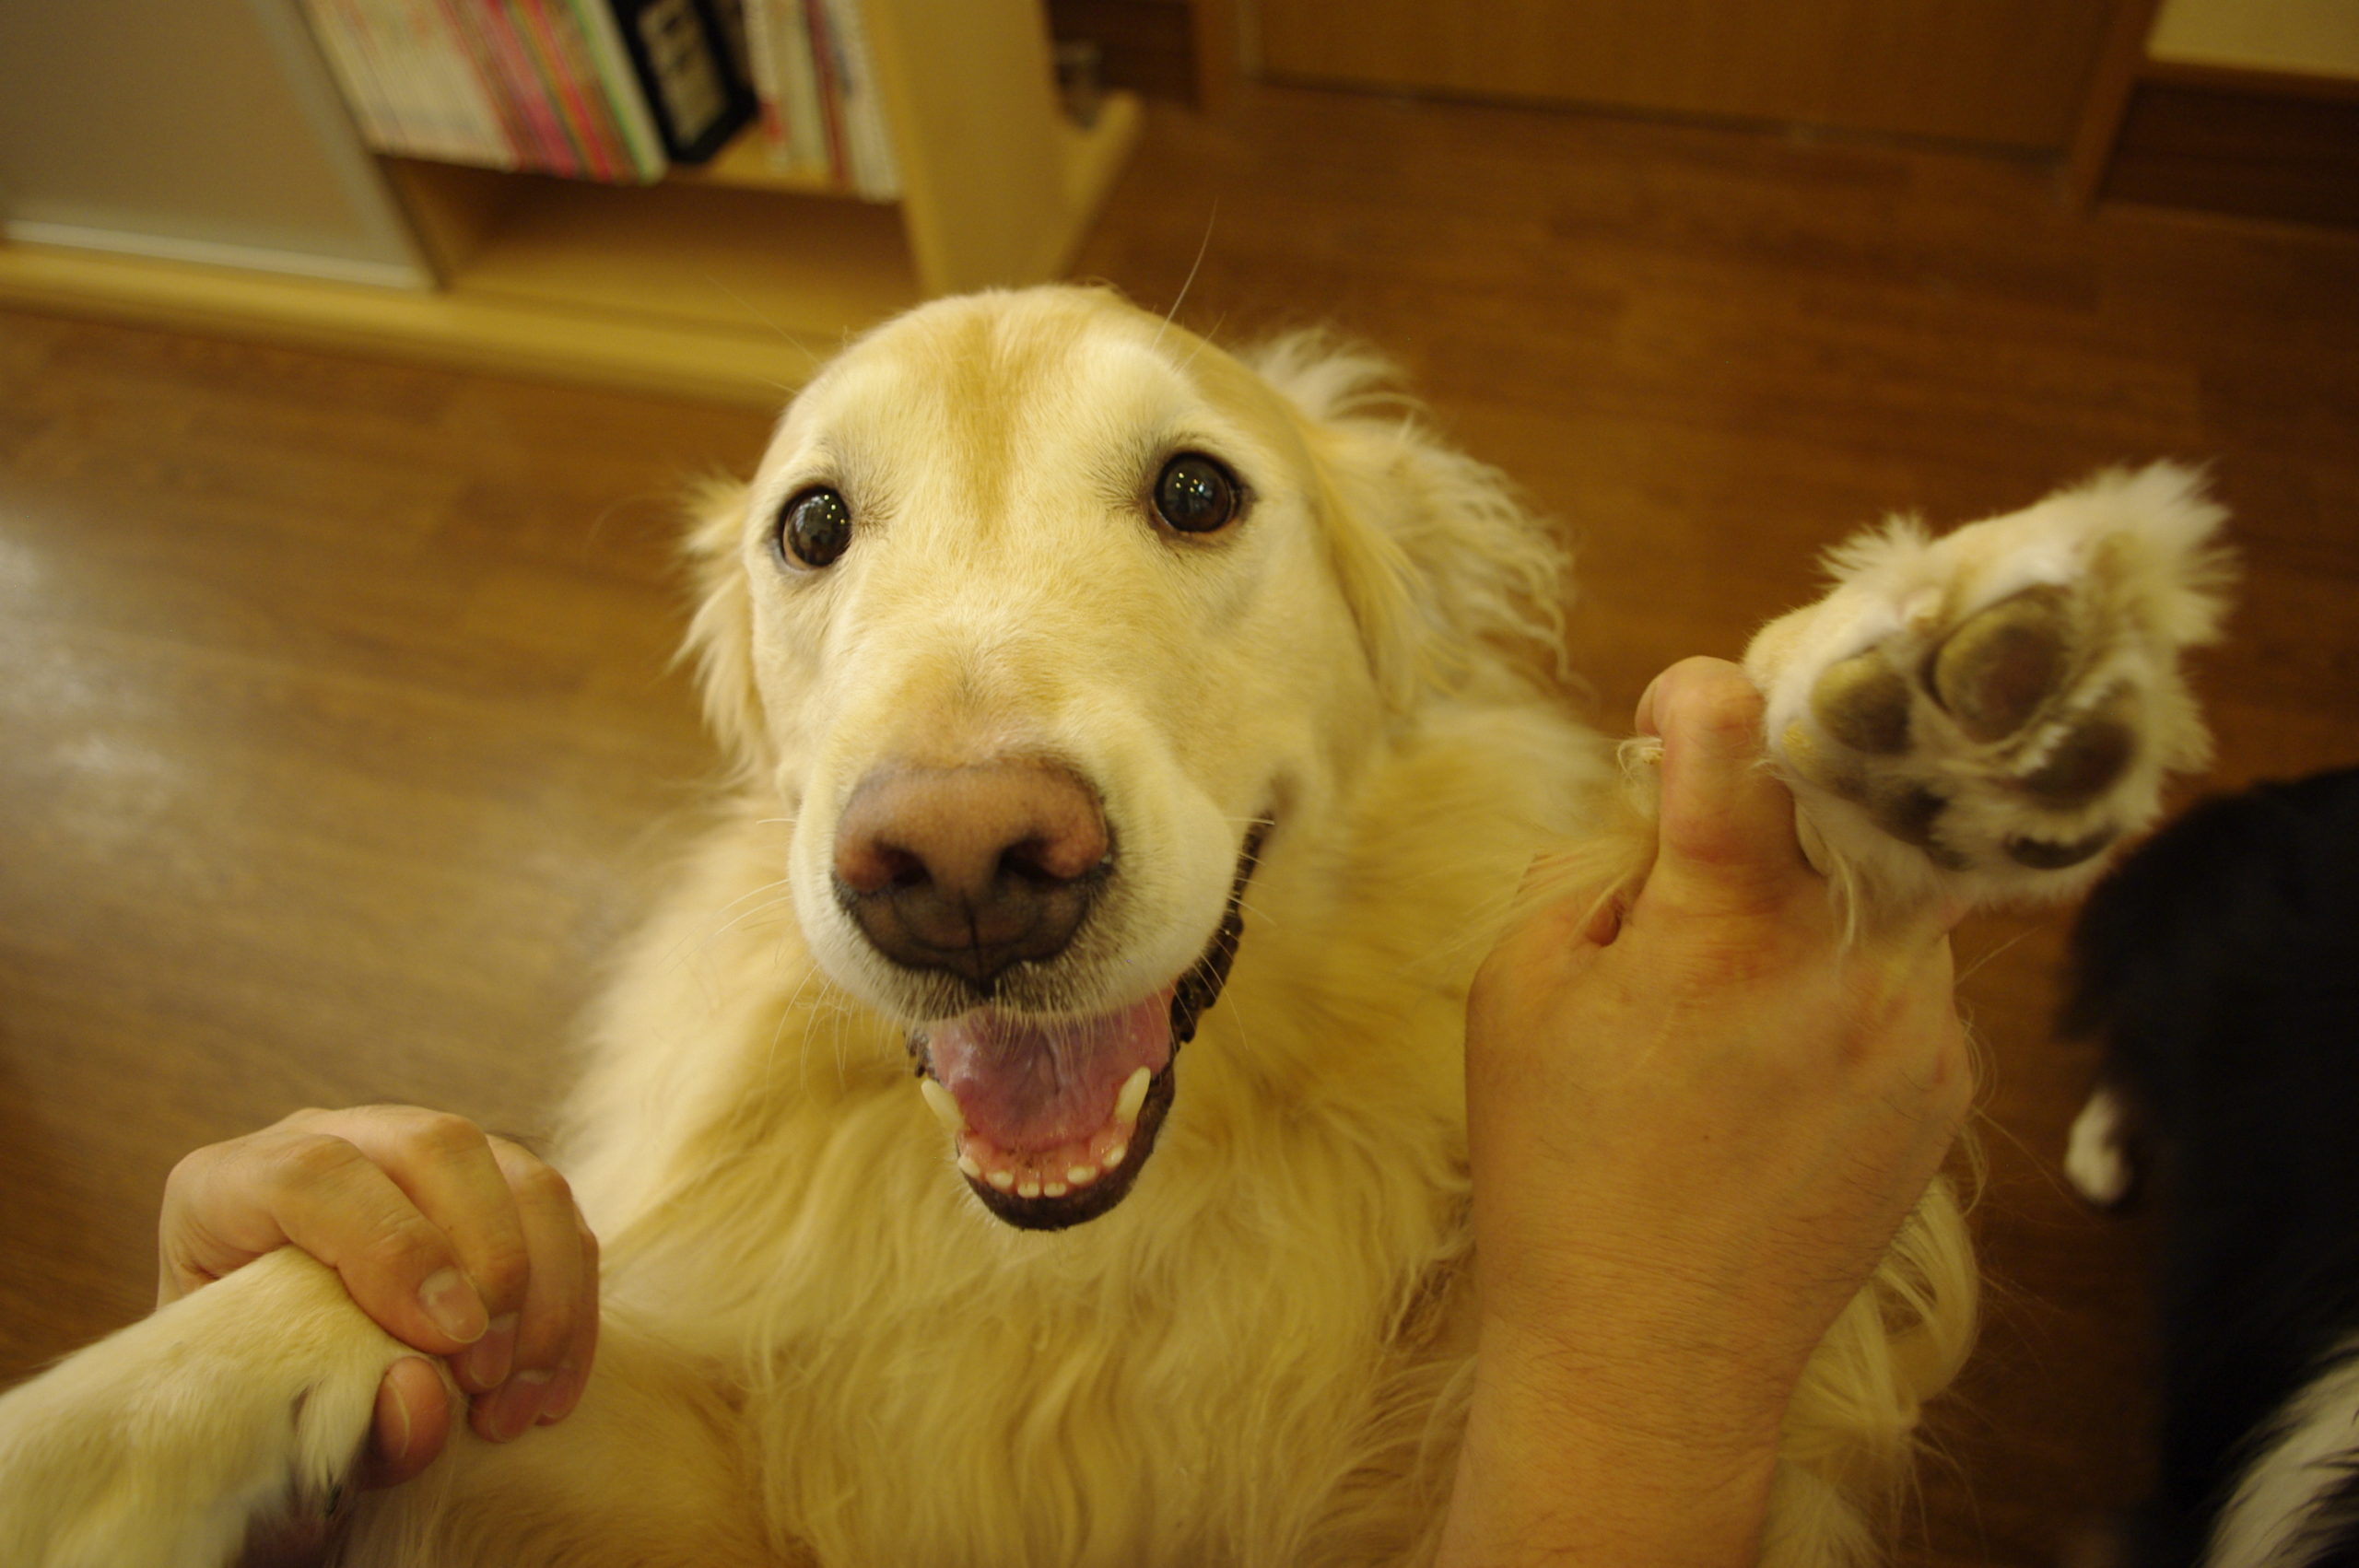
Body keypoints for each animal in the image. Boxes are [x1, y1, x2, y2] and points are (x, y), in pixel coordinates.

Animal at [0, 284, 2226, 1565]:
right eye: (813, 525)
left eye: (1195, 491)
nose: (964, 864)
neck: (1106, 1263)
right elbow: (334, 1292)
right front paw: (108, 1429)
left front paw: (1919, 692)